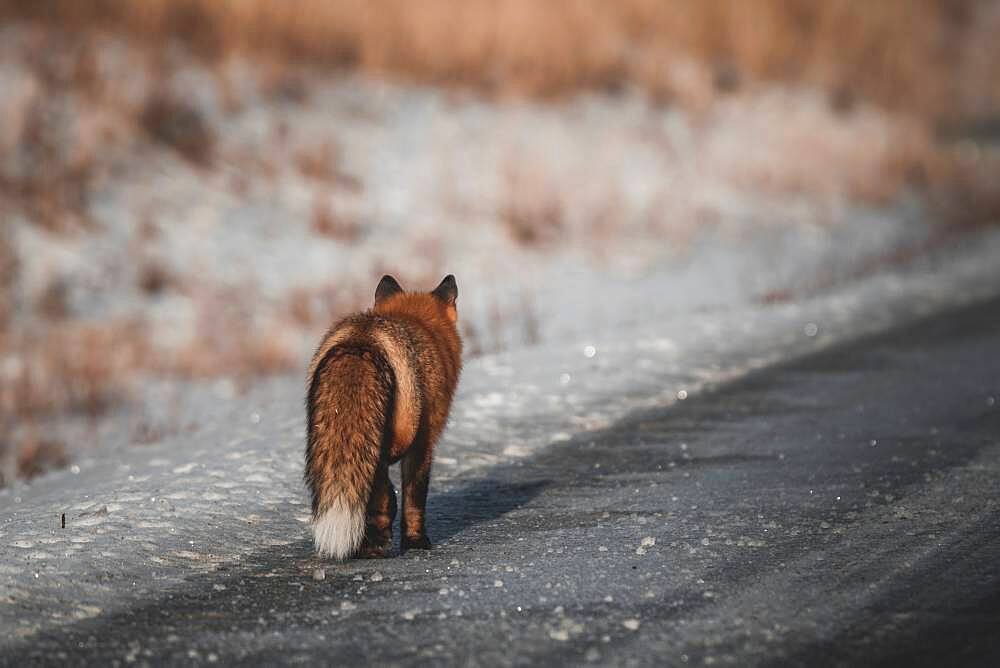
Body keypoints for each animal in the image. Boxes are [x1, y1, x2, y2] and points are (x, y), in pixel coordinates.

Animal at [304, 276, 460, 560]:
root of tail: (360, 342)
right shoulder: (423, 441)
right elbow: (414, 498)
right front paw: (415, 541)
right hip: (392, 437)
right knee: (382, 488)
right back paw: (376, 540)